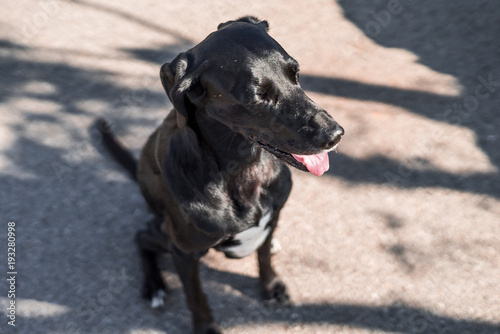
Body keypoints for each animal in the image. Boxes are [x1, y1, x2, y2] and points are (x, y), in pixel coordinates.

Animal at [97, 17, 342, 334]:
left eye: (295, 73)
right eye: (259, 96)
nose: (335, 134)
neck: (243, 169)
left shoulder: (274, 214)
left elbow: (264, 257)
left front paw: (271, 286)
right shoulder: (184, 253)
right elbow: (196, 295)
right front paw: (205, 327)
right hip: (163, 233)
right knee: (141, 237)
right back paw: (154, 286)